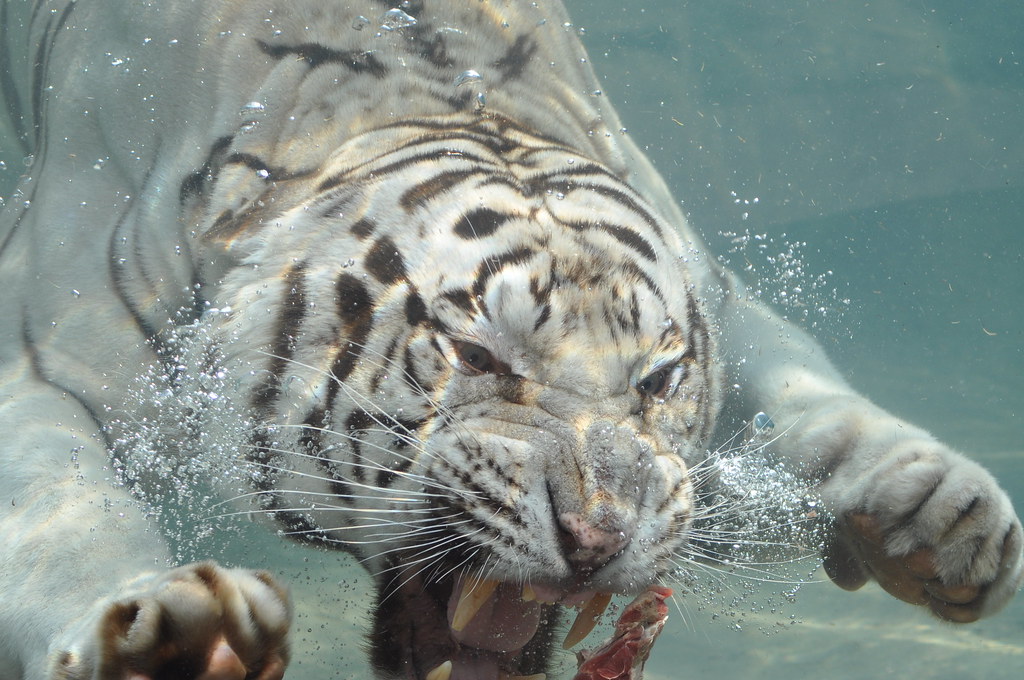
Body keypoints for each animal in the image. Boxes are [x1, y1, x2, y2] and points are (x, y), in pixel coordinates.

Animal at [0, 0, 1019, 675]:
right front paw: (173, 633)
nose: (599, 539)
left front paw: (935, 508)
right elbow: (69, 513)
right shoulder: (43, 348)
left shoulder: (719, 293)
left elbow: (813, 393)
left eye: (657, 380)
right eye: (479, 356)